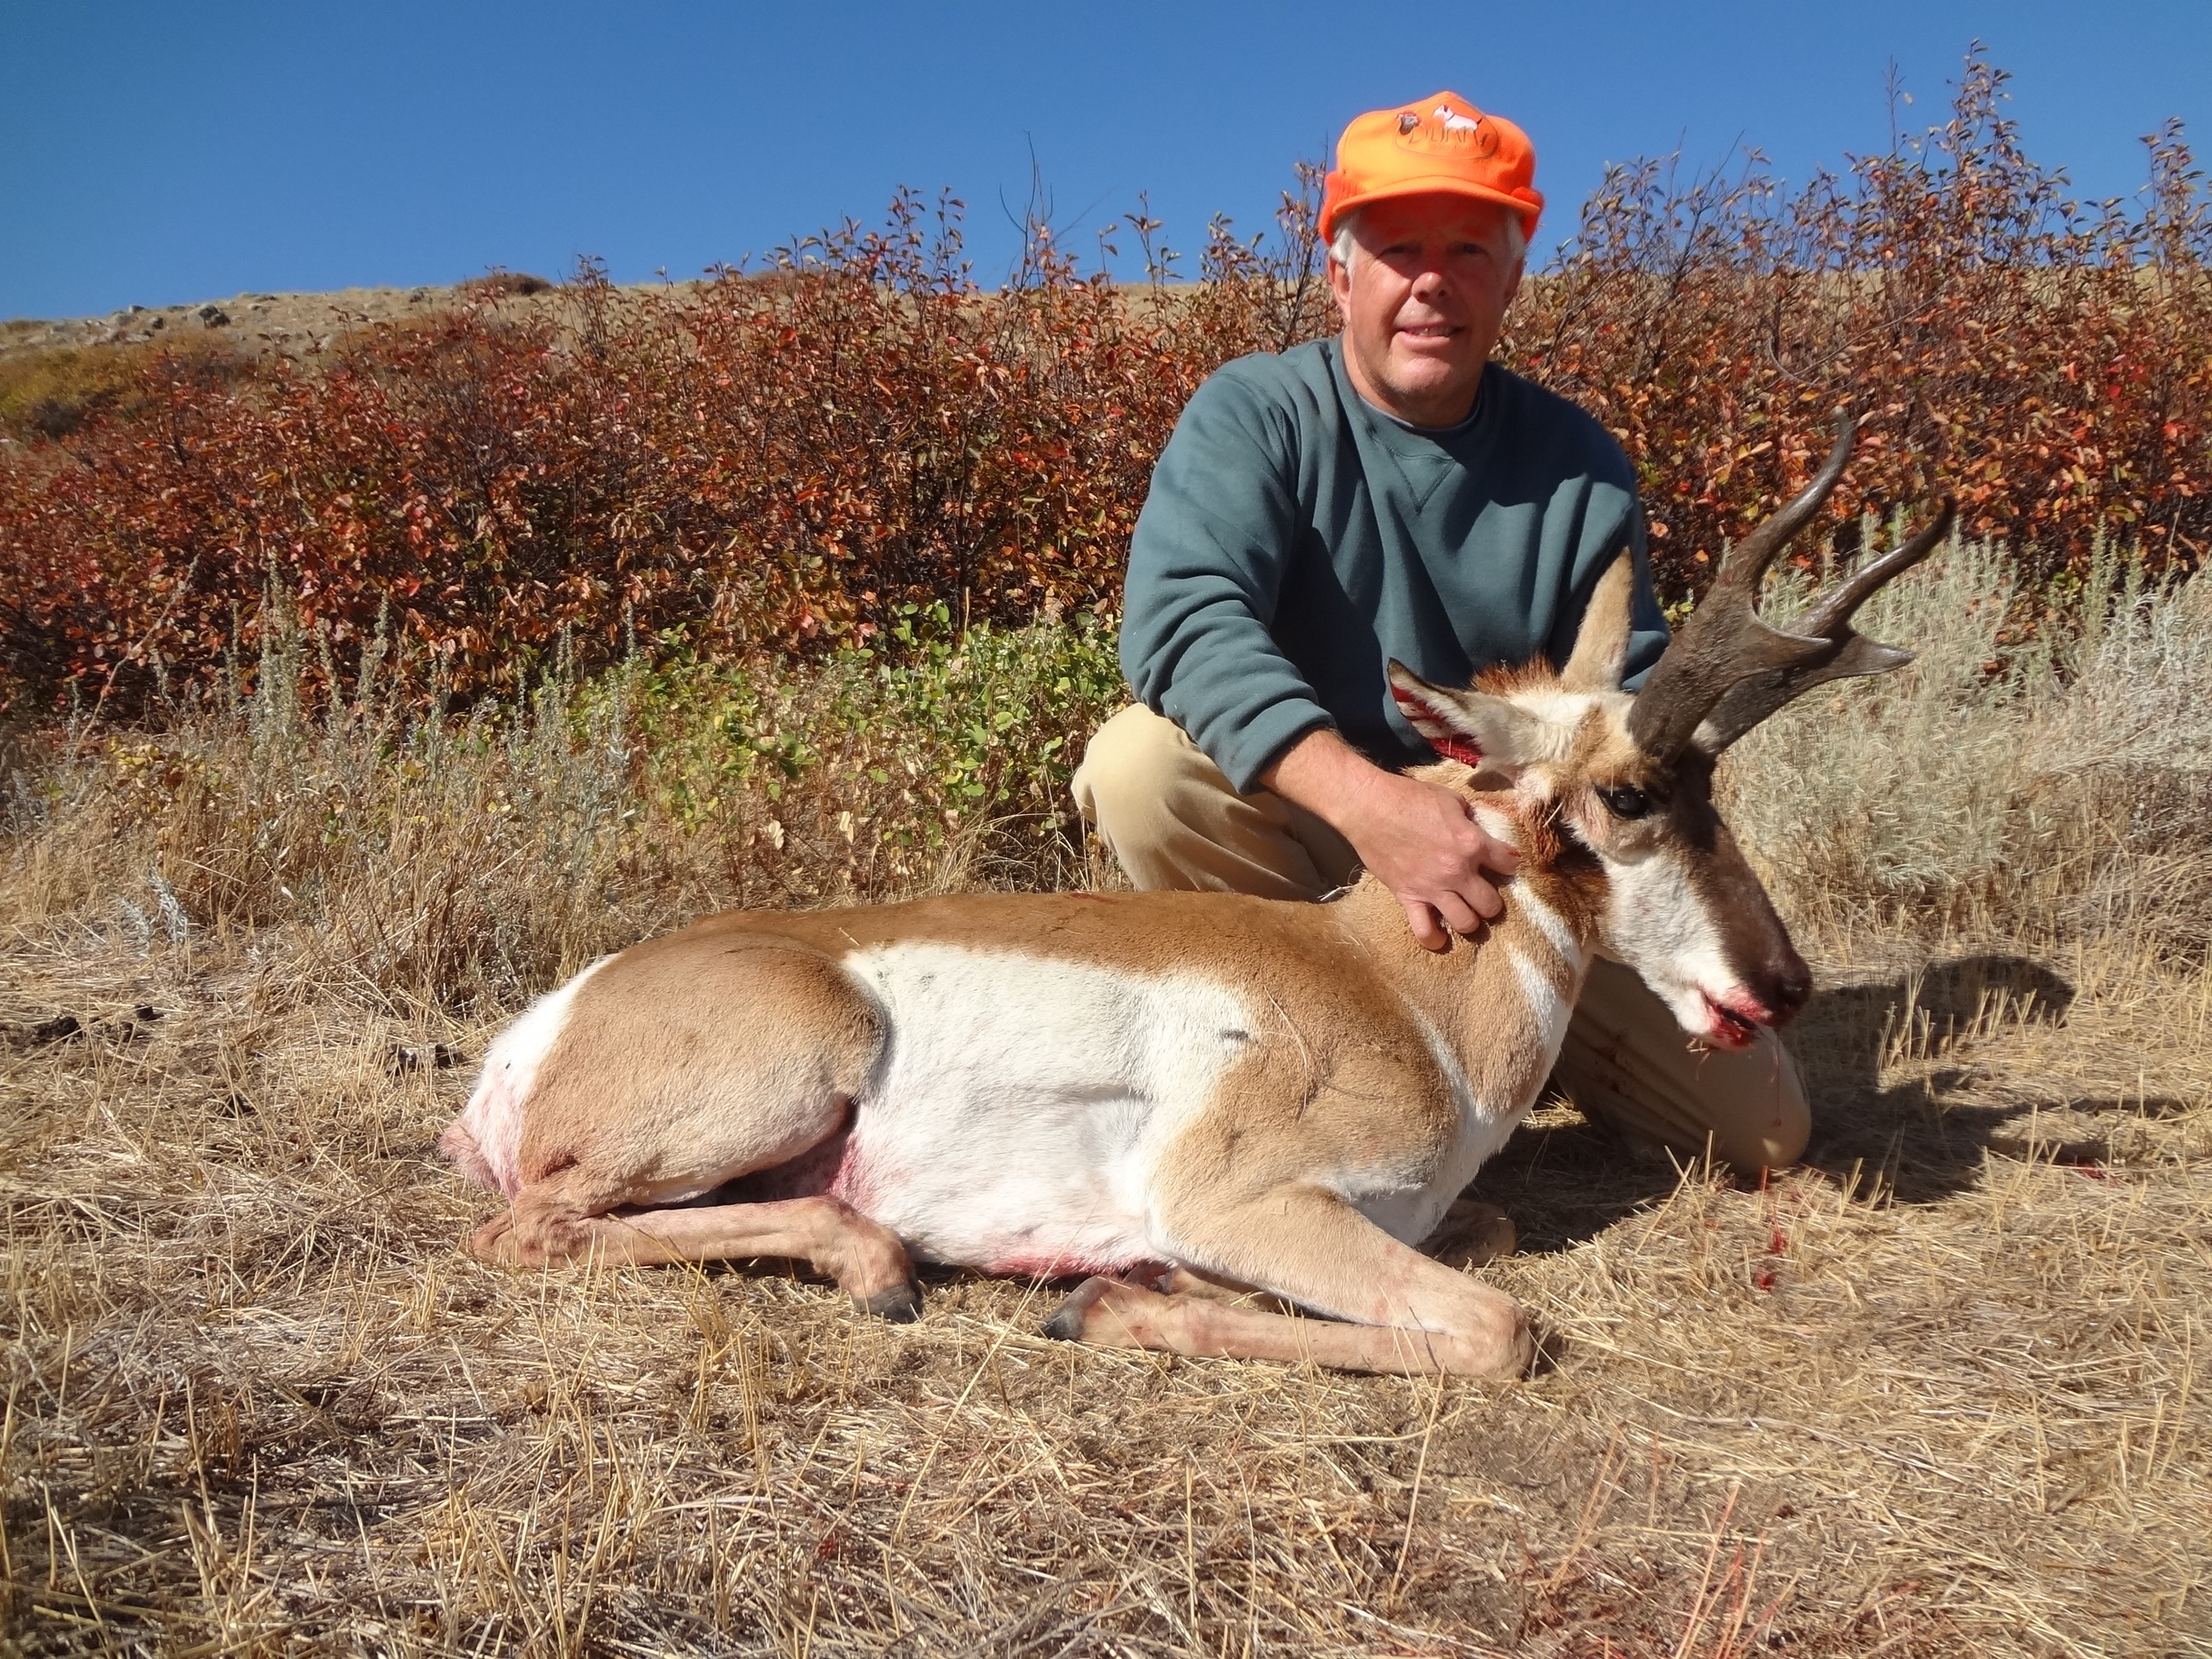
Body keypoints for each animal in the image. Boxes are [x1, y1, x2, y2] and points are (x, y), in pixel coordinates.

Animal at [441, 417, 1950, 1379]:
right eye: (1632, 794)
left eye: (1715, 784)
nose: (1783, 983)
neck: (1392, 979)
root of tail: (547, 1024)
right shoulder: (1237, 1202)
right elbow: (1497, 1327)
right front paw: (1111, 1305)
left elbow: (1498, 1230)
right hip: (800, 1063)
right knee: (532, 1226)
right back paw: (884, 1267)